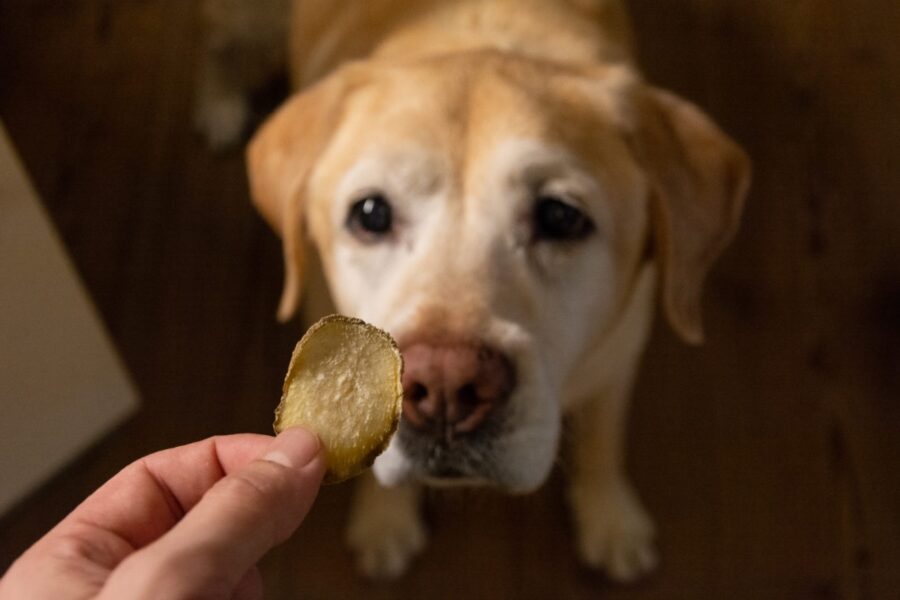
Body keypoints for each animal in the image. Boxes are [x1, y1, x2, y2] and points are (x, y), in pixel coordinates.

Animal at [199, 0, 752, 584]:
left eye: (560, 216)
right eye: (370, 214)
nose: (446, 386)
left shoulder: (619, 354)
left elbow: (603, 441)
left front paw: (610, 519)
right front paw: (384, 521)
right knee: (217, 44)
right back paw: (219, 105)